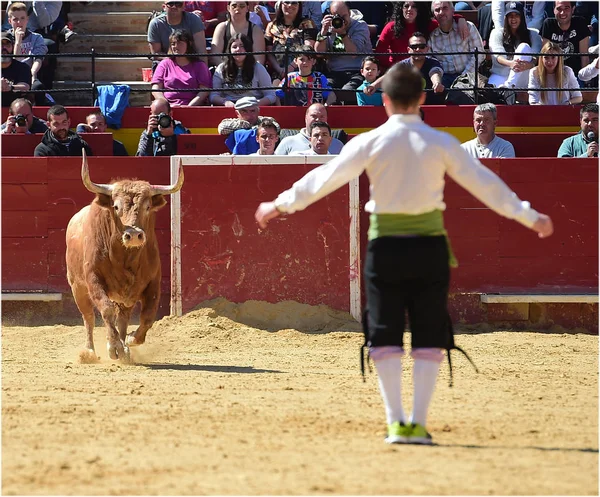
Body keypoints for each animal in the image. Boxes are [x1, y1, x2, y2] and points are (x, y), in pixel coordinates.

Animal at [66, 151, 183, 360]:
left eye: (147, 207)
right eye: (116, 206)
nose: (134, 235)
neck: (125, 257)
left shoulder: (153, 283)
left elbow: (148, 317)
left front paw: (130, 340)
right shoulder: (93, 279)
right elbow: (105, 309)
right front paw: (114, 347)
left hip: (123, 296)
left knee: (123, 317)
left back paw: (125, 348)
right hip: (77, 287)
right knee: (88, 317)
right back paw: (89, 352)